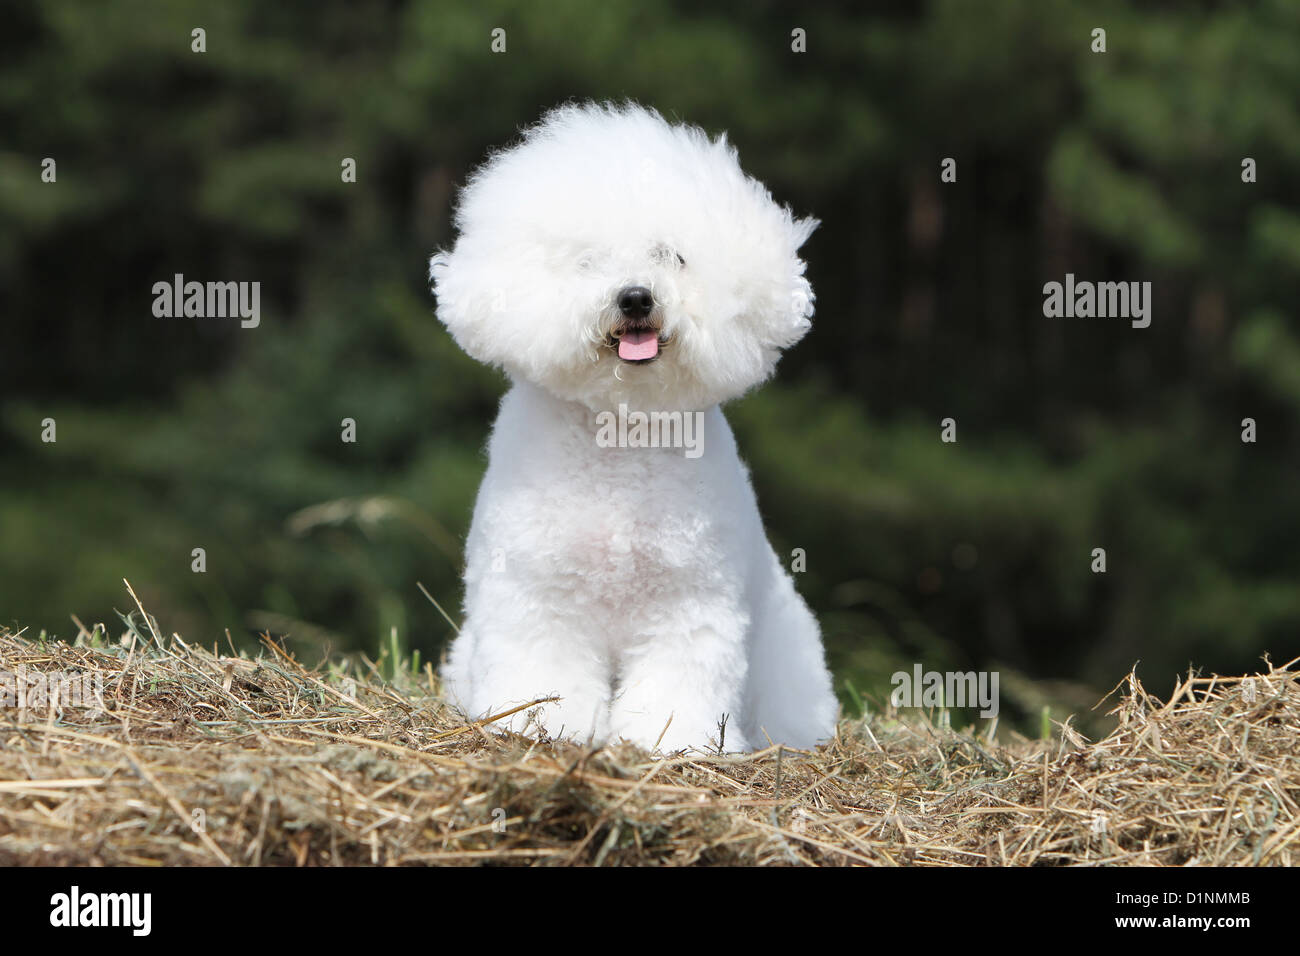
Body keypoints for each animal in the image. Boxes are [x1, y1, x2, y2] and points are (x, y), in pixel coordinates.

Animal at [431, 100, 837, 749]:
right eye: (587, 260)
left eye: (673, 255)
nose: (636, 298)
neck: (620, 430)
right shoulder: (537, 598)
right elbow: (544, 672)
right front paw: (541, 724)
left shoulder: (690, 605)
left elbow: (680, 683)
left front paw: (673, 742)